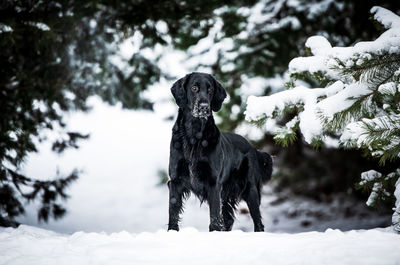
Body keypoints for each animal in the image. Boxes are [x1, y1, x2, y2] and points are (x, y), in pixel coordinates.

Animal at [167, 72, 274, 231]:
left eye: (210, 90)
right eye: (194, 88)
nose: (204, 107)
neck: (194, 135)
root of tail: (252, 147)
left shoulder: (213, 182)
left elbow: (214, 216)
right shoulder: (175, 180)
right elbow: (173, 211)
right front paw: (171, 232)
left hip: (250, 189)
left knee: (257, 221)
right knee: (228, 219)